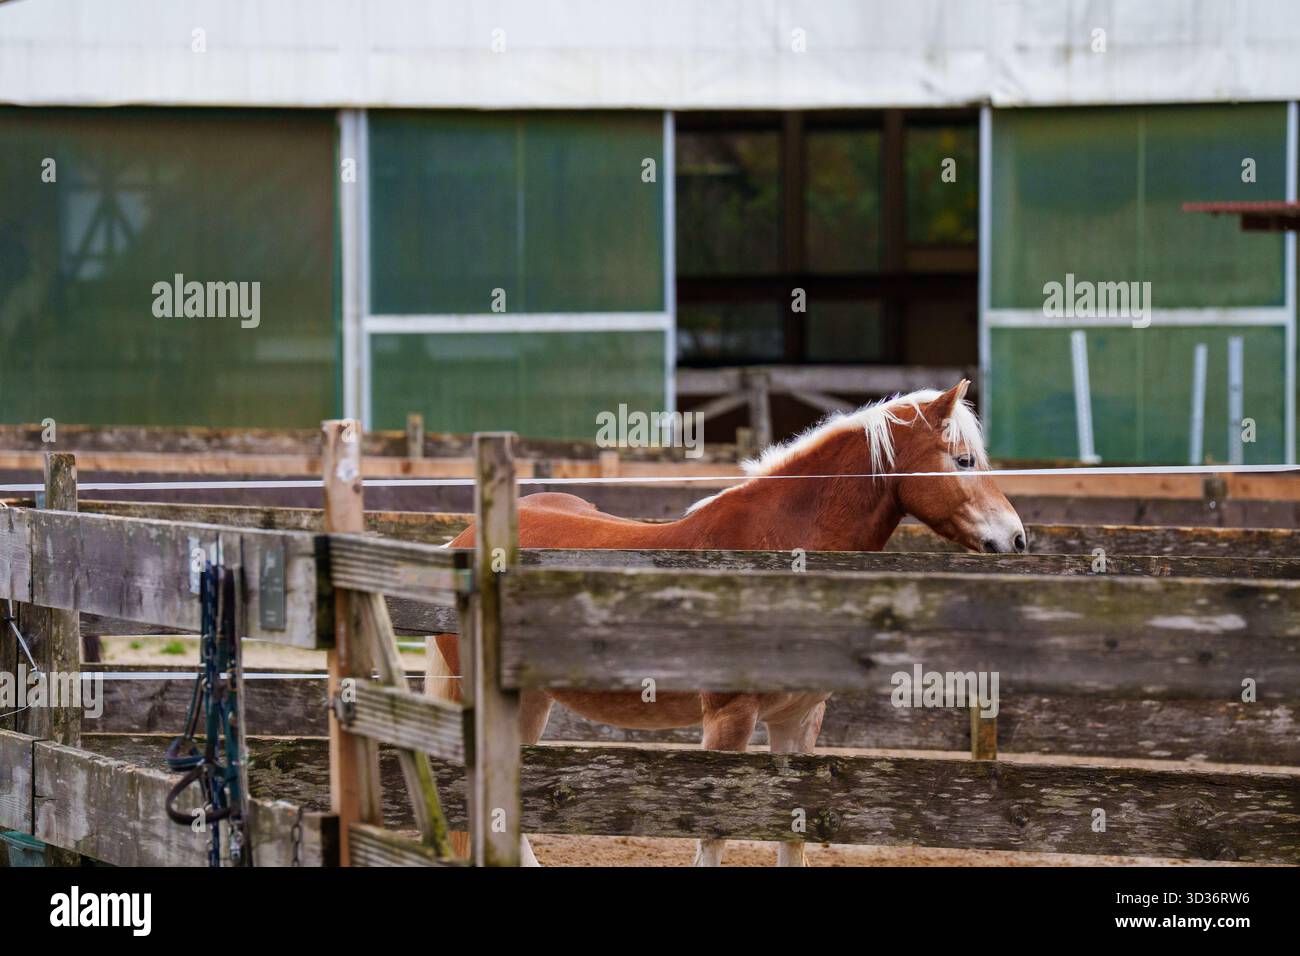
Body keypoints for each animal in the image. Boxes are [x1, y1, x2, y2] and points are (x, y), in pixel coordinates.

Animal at [427, 380, 1025, 866]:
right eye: (963, 460)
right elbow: (713, 831)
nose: (1016, 538)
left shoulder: (798, 722)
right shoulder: (727, 720)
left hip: (530, 702)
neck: (778, 548)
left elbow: (793, 832)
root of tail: (459, 541)